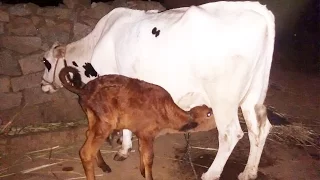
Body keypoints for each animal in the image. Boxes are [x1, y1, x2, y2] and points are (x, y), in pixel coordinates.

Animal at [58, 66, 214, 180]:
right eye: (209, 113)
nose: (216, 110)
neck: (167, 111)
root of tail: (83, 90)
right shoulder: (147, 134)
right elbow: (149, 158)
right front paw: (149, 176)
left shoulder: (141, 134)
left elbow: (142, 152)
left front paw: (142, 171)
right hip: (105, 124)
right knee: (85, 152)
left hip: (94, 119)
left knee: (87, 134)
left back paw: (104, 165)